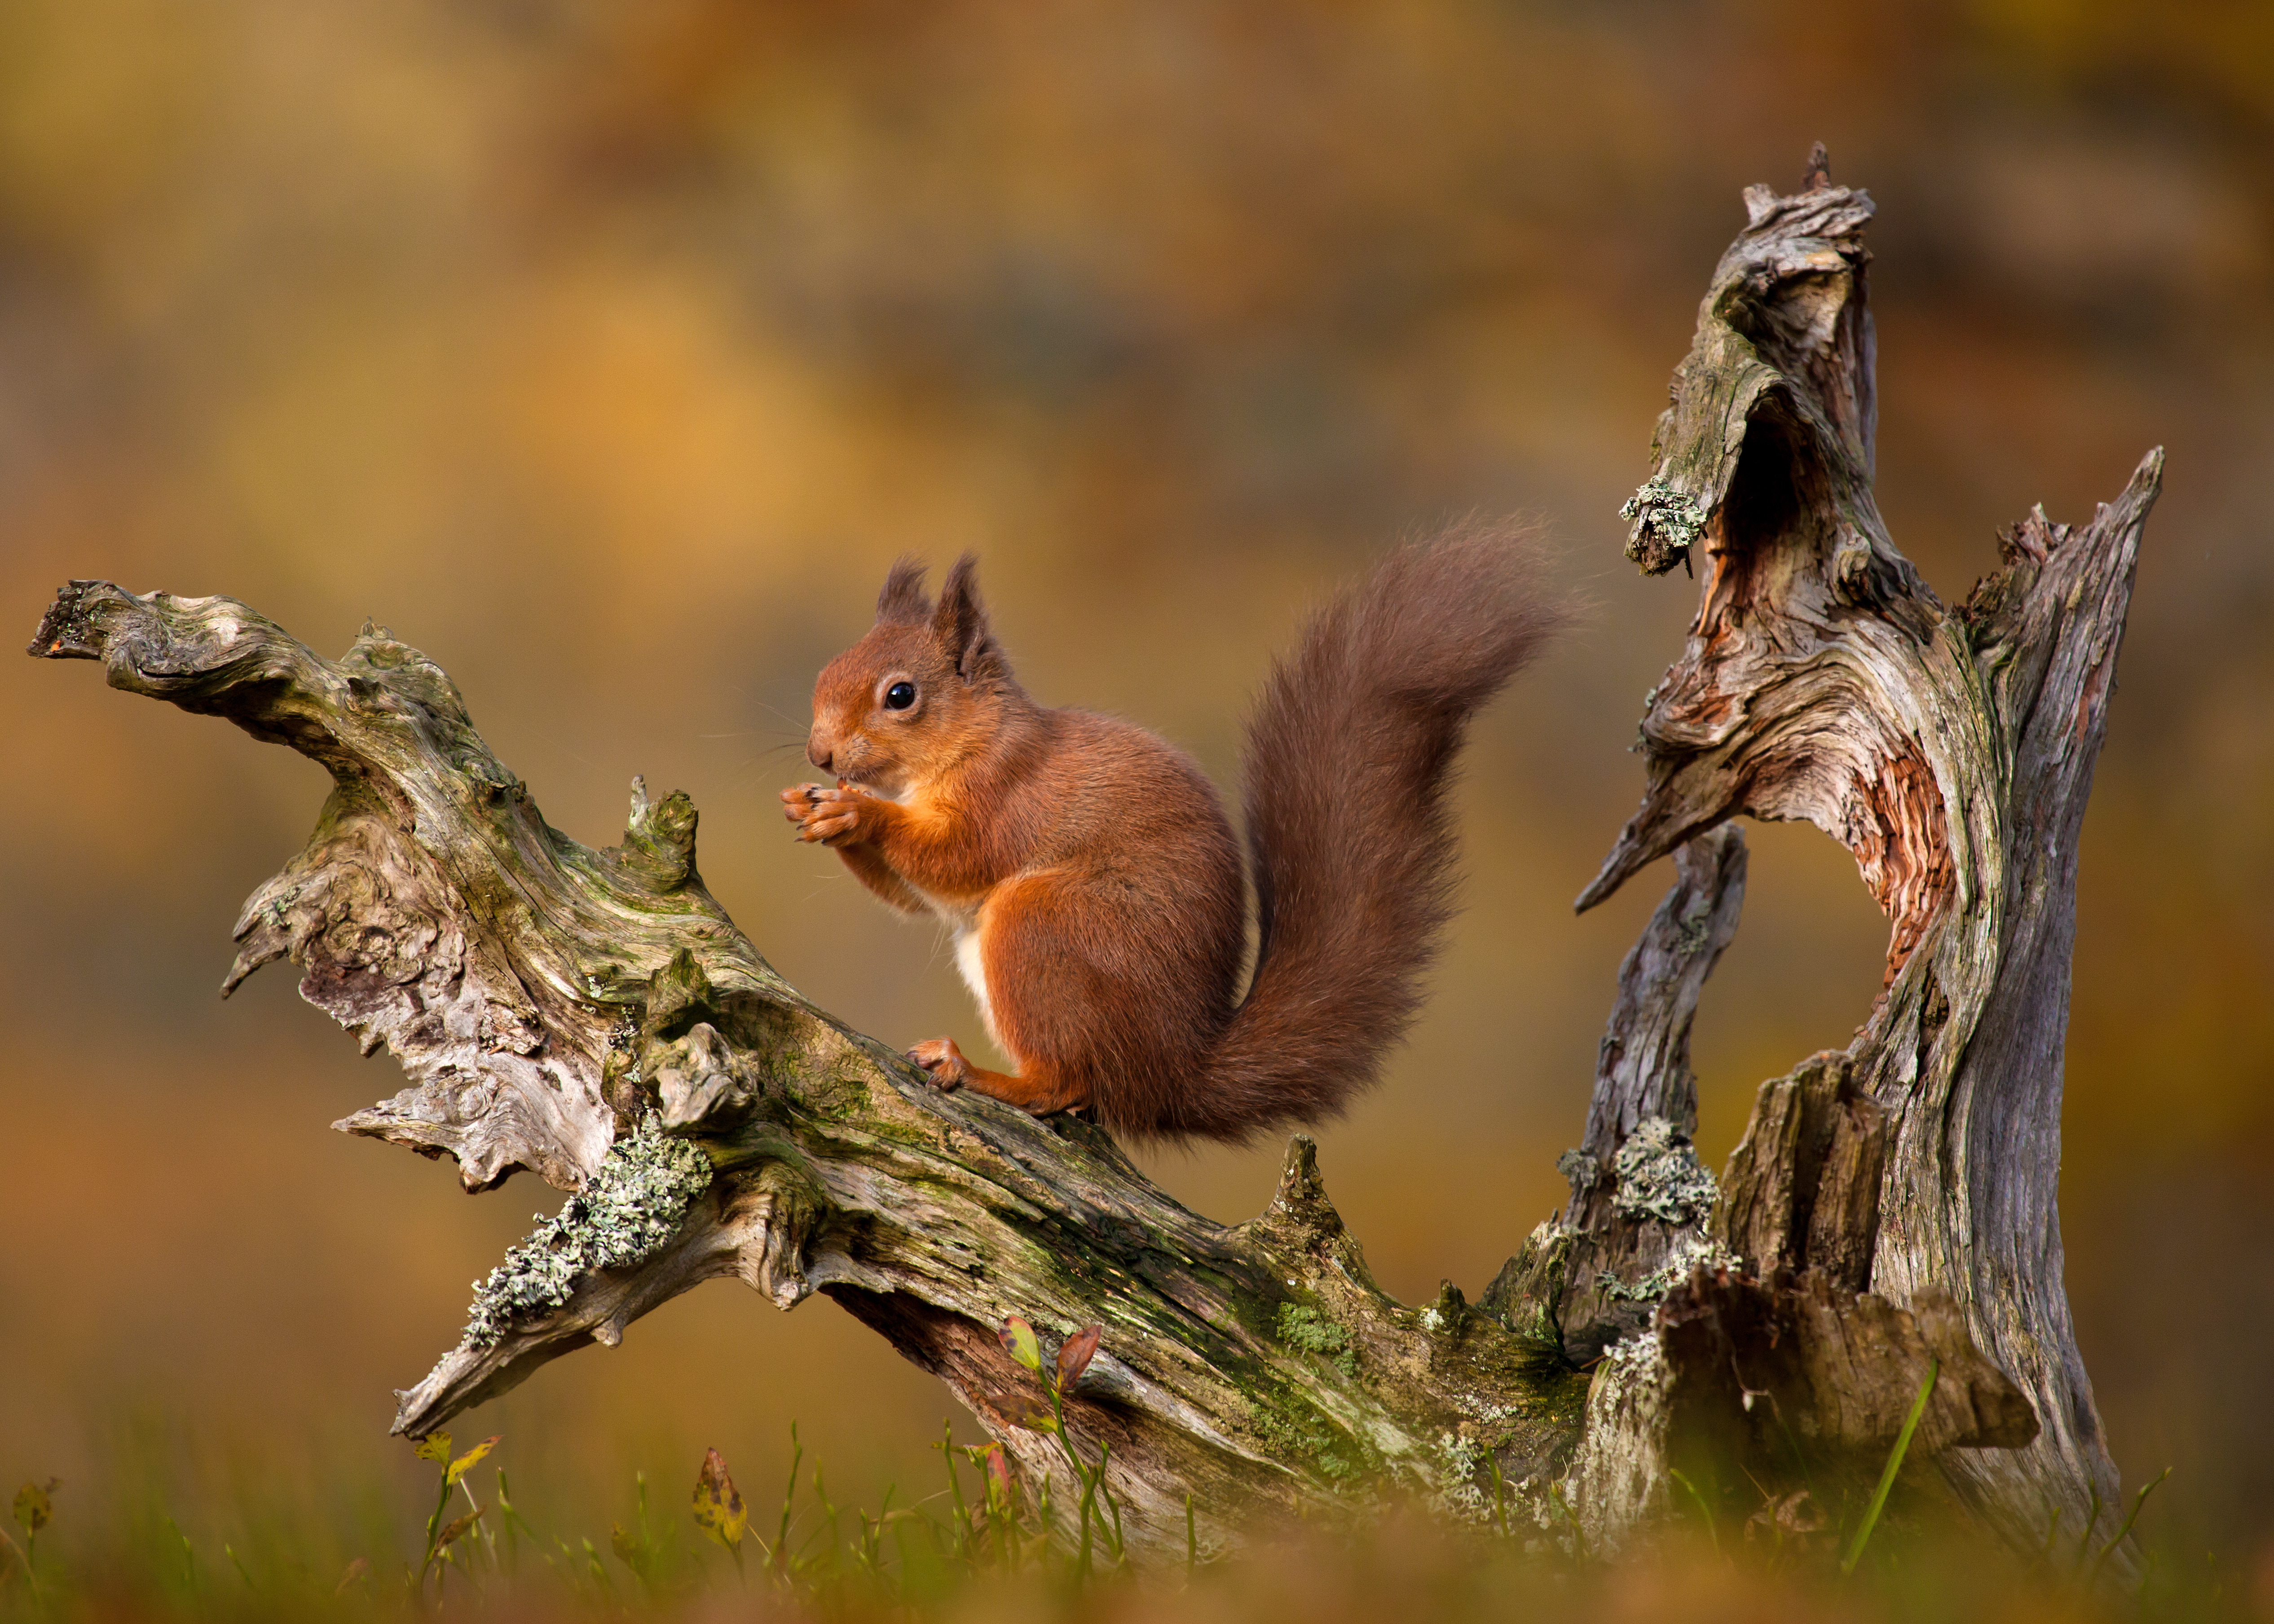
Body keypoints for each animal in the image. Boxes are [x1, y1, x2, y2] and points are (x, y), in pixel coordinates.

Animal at [782, 522, 1566, 1144]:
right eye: (824, 674)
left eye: (901, 695)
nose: (820, 754)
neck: (973, 742)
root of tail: (1173, 1073)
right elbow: (914, 899)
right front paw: (814, 807)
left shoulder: (1008, 798)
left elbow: (955, 859)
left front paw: (858, 812)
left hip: (1045, 926)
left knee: (1063, 1083)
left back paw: (979, 1072)